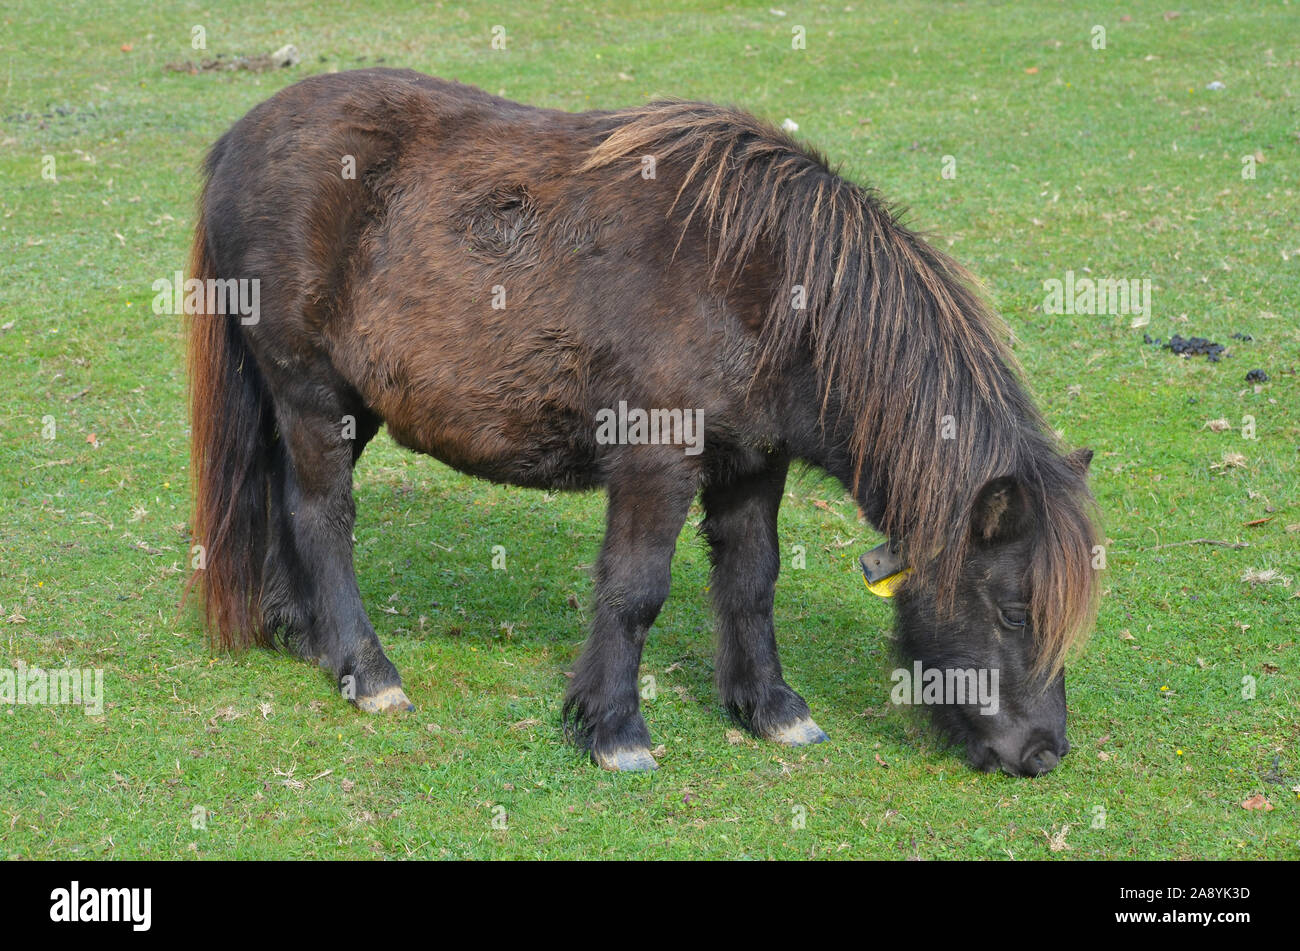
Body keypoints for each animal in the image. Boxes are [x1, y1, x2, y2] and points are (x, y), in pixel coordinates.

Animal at [185, 68, 1100, 776]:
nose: (1043, 752)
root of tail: (238, 139)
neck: (767, 282)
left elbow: (751, 581)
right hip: (313, 396)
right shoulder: (655, 460)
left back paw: (307, 638)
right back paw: (366, 670)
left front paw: (770, 707)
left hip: (345, 405)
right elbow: (635, 590)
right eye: (1013, 612)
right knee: (320, 516)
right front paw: (614, 729)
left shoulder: (752, 463)